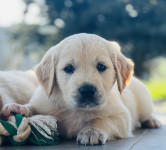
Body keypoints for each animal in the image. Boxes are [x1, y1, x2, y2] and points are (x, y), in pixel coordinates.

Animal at [5, 33, 160, 145]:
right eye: (68, 68)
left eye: (101, 66)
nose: (87, 90)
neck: (77, 110)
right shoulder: (43, 102)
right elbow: (33, 108)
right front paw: (19, 108)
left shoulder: (122, 117)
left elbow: (102, 120)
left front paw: (92, 131)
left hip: (144, 101)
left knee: (147, 113)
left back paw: (152, 120)